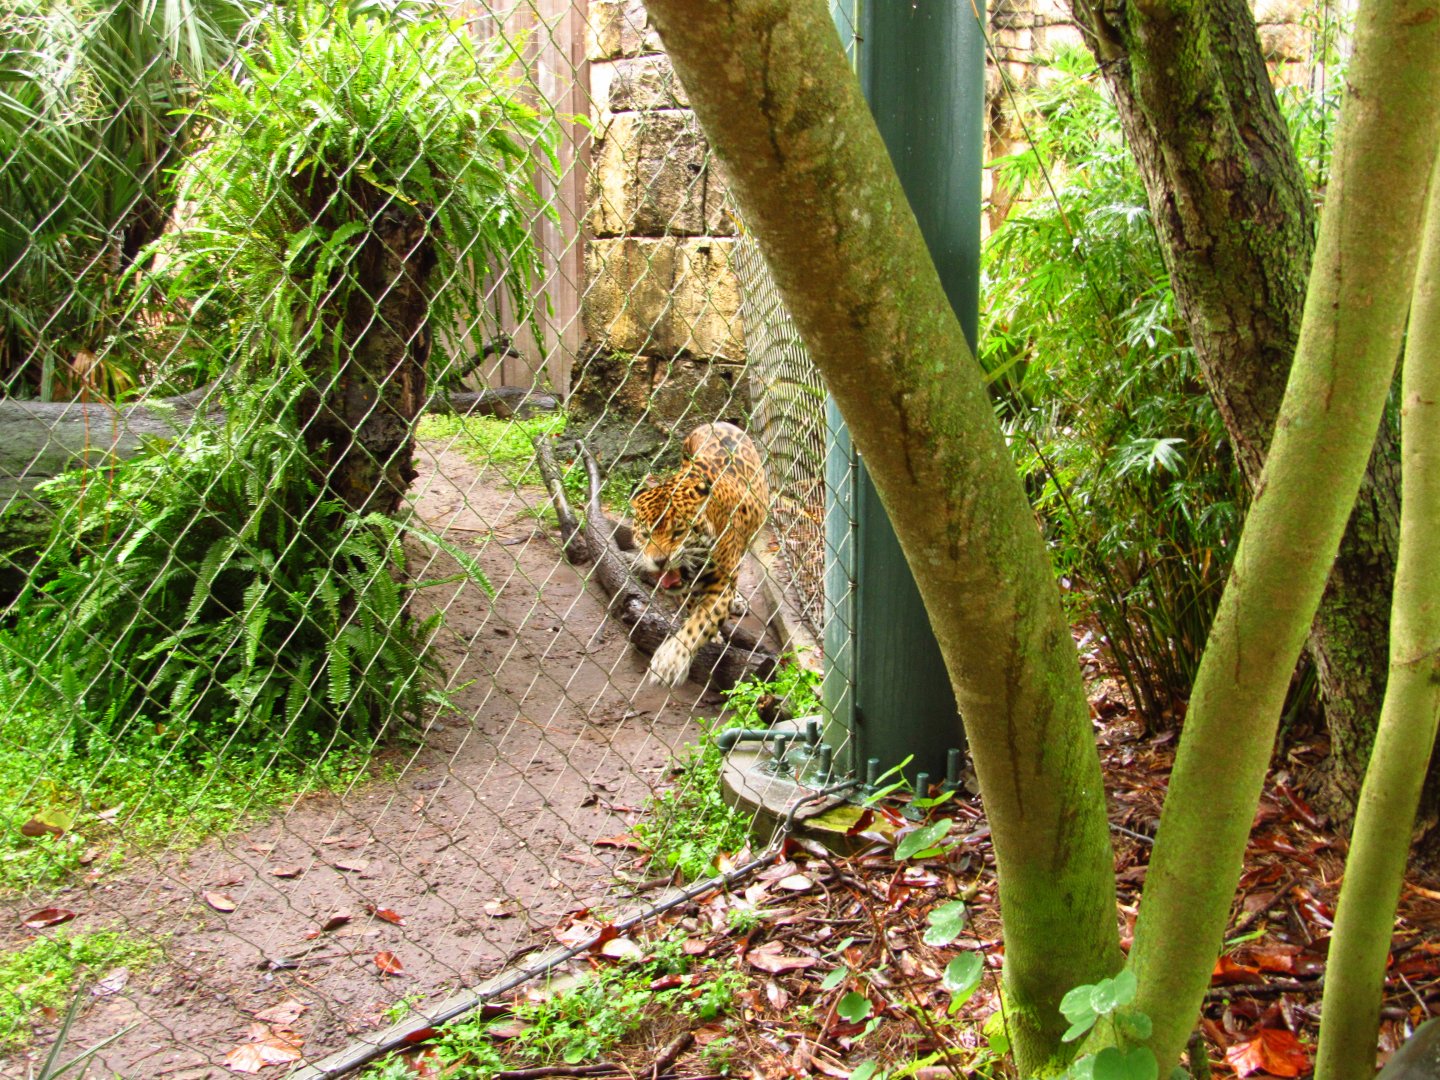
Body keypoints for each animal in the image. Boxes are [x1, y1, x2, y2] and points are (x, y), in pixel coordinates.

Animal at [629, 421, 769, 688]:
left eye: (678, 531)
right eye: (644, 534)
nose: (659, 562)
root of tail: (715, 423)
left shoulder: (720, 586)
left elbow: (700, 622)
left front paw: (670, 660)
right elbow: (695, 610)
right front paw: (713, 638)